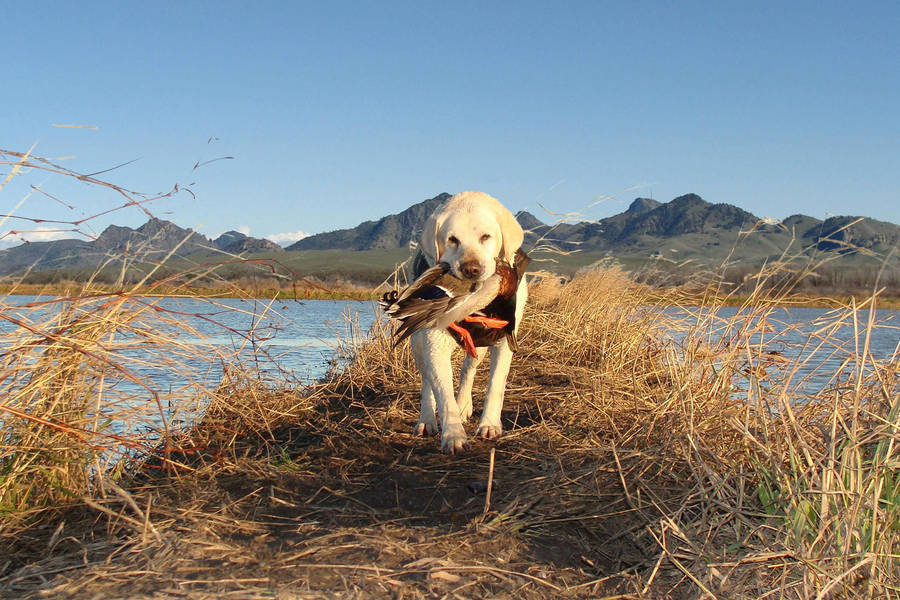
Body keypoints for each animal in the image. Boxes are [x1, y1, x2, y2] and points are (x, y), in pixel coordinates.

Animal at [410, 192, 528, 454]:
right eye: (452, 239)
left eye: (486, 236)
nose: (471, 269)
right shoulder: (434, 344)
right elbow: (443, 394)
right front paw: (453, 435)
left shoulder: (504, 343)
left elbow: (495, 386)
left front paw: (489, 424)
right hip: (418, 344)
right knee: (427, 382)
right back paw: (427, 420)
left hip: (480, 347)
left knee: (468, 370)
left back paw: (464, 404)